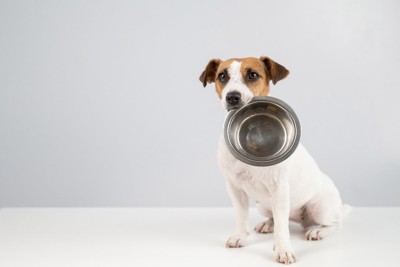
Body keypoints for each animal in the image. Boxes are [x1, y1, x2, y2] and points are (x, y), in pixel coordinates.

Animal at [200, 57, 350, 266]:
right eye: (222, 76)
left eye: (253, 75)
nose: (232, 97)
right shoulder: (234, 188)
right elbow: (241, 215)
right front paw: (240, 236)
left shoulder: (279, 189)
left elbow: (282, 228)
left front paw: (283, 250)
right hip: (263, 205)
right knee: (277, 218)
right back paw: (268, 223)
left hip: (321, 208)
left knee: (334, 223)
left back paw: (318, 230)